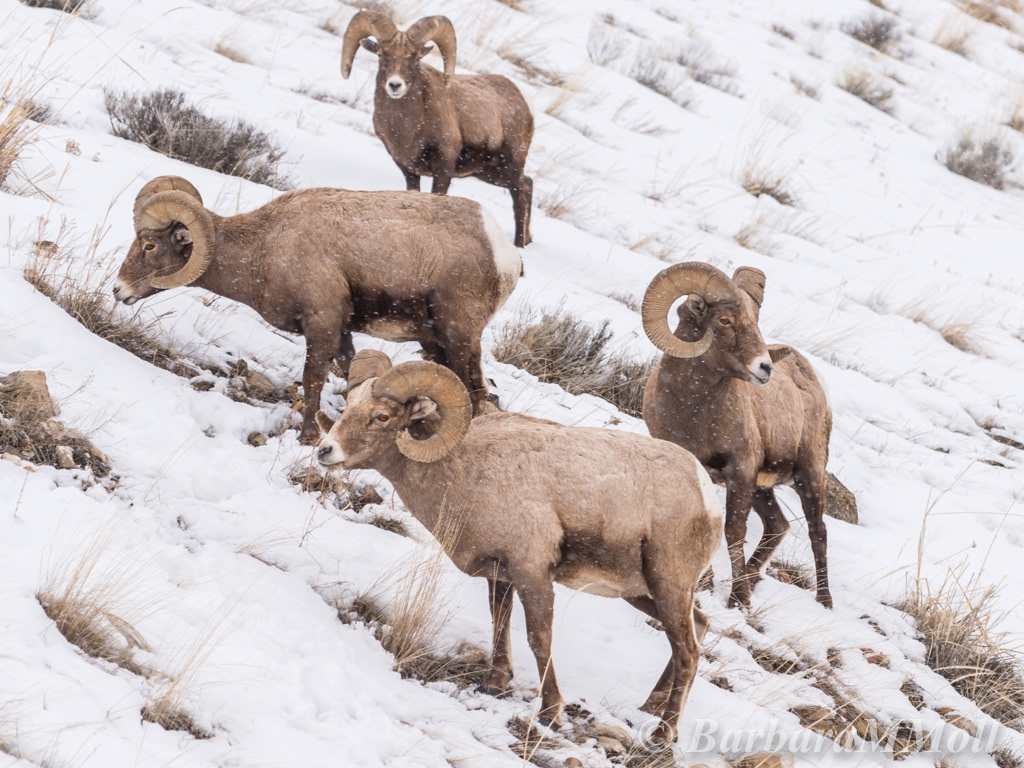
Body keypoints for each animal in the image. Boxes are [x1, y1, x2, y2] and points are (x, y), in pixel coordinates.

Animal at [112, 175, 521, 443]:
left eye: (149, 245)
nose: (118, 291)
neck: (264, 248)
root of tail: (507, 257)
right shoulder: (341, 332)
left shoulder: (321, 323)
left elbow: (312, 379)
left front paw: (307, 434)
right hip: (434, 343)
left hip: (458, 337)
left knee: (475, 393)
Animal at [315, 350, 723, 744]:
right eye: (348, 404)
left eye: (382, 416)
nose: (325, 450)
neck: (463, 471)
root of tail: (707, 497)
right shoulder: (501, 574)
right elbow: (500, 622)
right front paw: (494, 685)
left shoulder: (532, 574)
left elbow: (538, 639)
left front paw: (550, 715)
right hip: (642, 591)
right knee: (698, 627)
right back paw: (649, 708)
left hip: (667, 586)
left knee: (688, 651)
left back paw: (663, 734)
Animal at [341, 12, 535, 248]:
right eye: (380, 54)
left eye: (416, 58)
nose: (395, 85)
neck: (407, 131)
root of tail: (523, 103)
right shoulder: (409, 170)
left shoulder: (443, 170)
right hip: (490, 173)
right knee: (528, 184)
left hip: (510, 166)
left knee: (520, 200)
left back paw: (519, 245)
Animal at [640, 262, 834, 609]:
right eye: (725, 320)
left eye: (755, 321)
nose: (765, 368)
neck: (693, 412)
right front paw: (705, 584)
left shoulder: (741, 470)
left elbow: (733, 531)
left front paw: (738, 601)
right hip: (763, 487)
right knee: (778, 524)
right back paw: (753, 578)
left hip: (809, 475)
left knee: (818, 532)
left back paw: (824, 601)